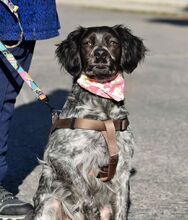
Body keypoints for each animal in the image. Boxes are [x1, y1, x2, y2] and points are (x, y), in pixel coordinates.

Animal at [29, 24, 147, 219]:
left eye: (113, 42)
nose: (100, 53)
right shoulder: (61, 159)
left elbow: (121, 206)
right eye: (87, 43)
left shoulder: (123, 167)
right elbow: (85, 193)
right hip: (50, 204)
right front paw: (90, 207)